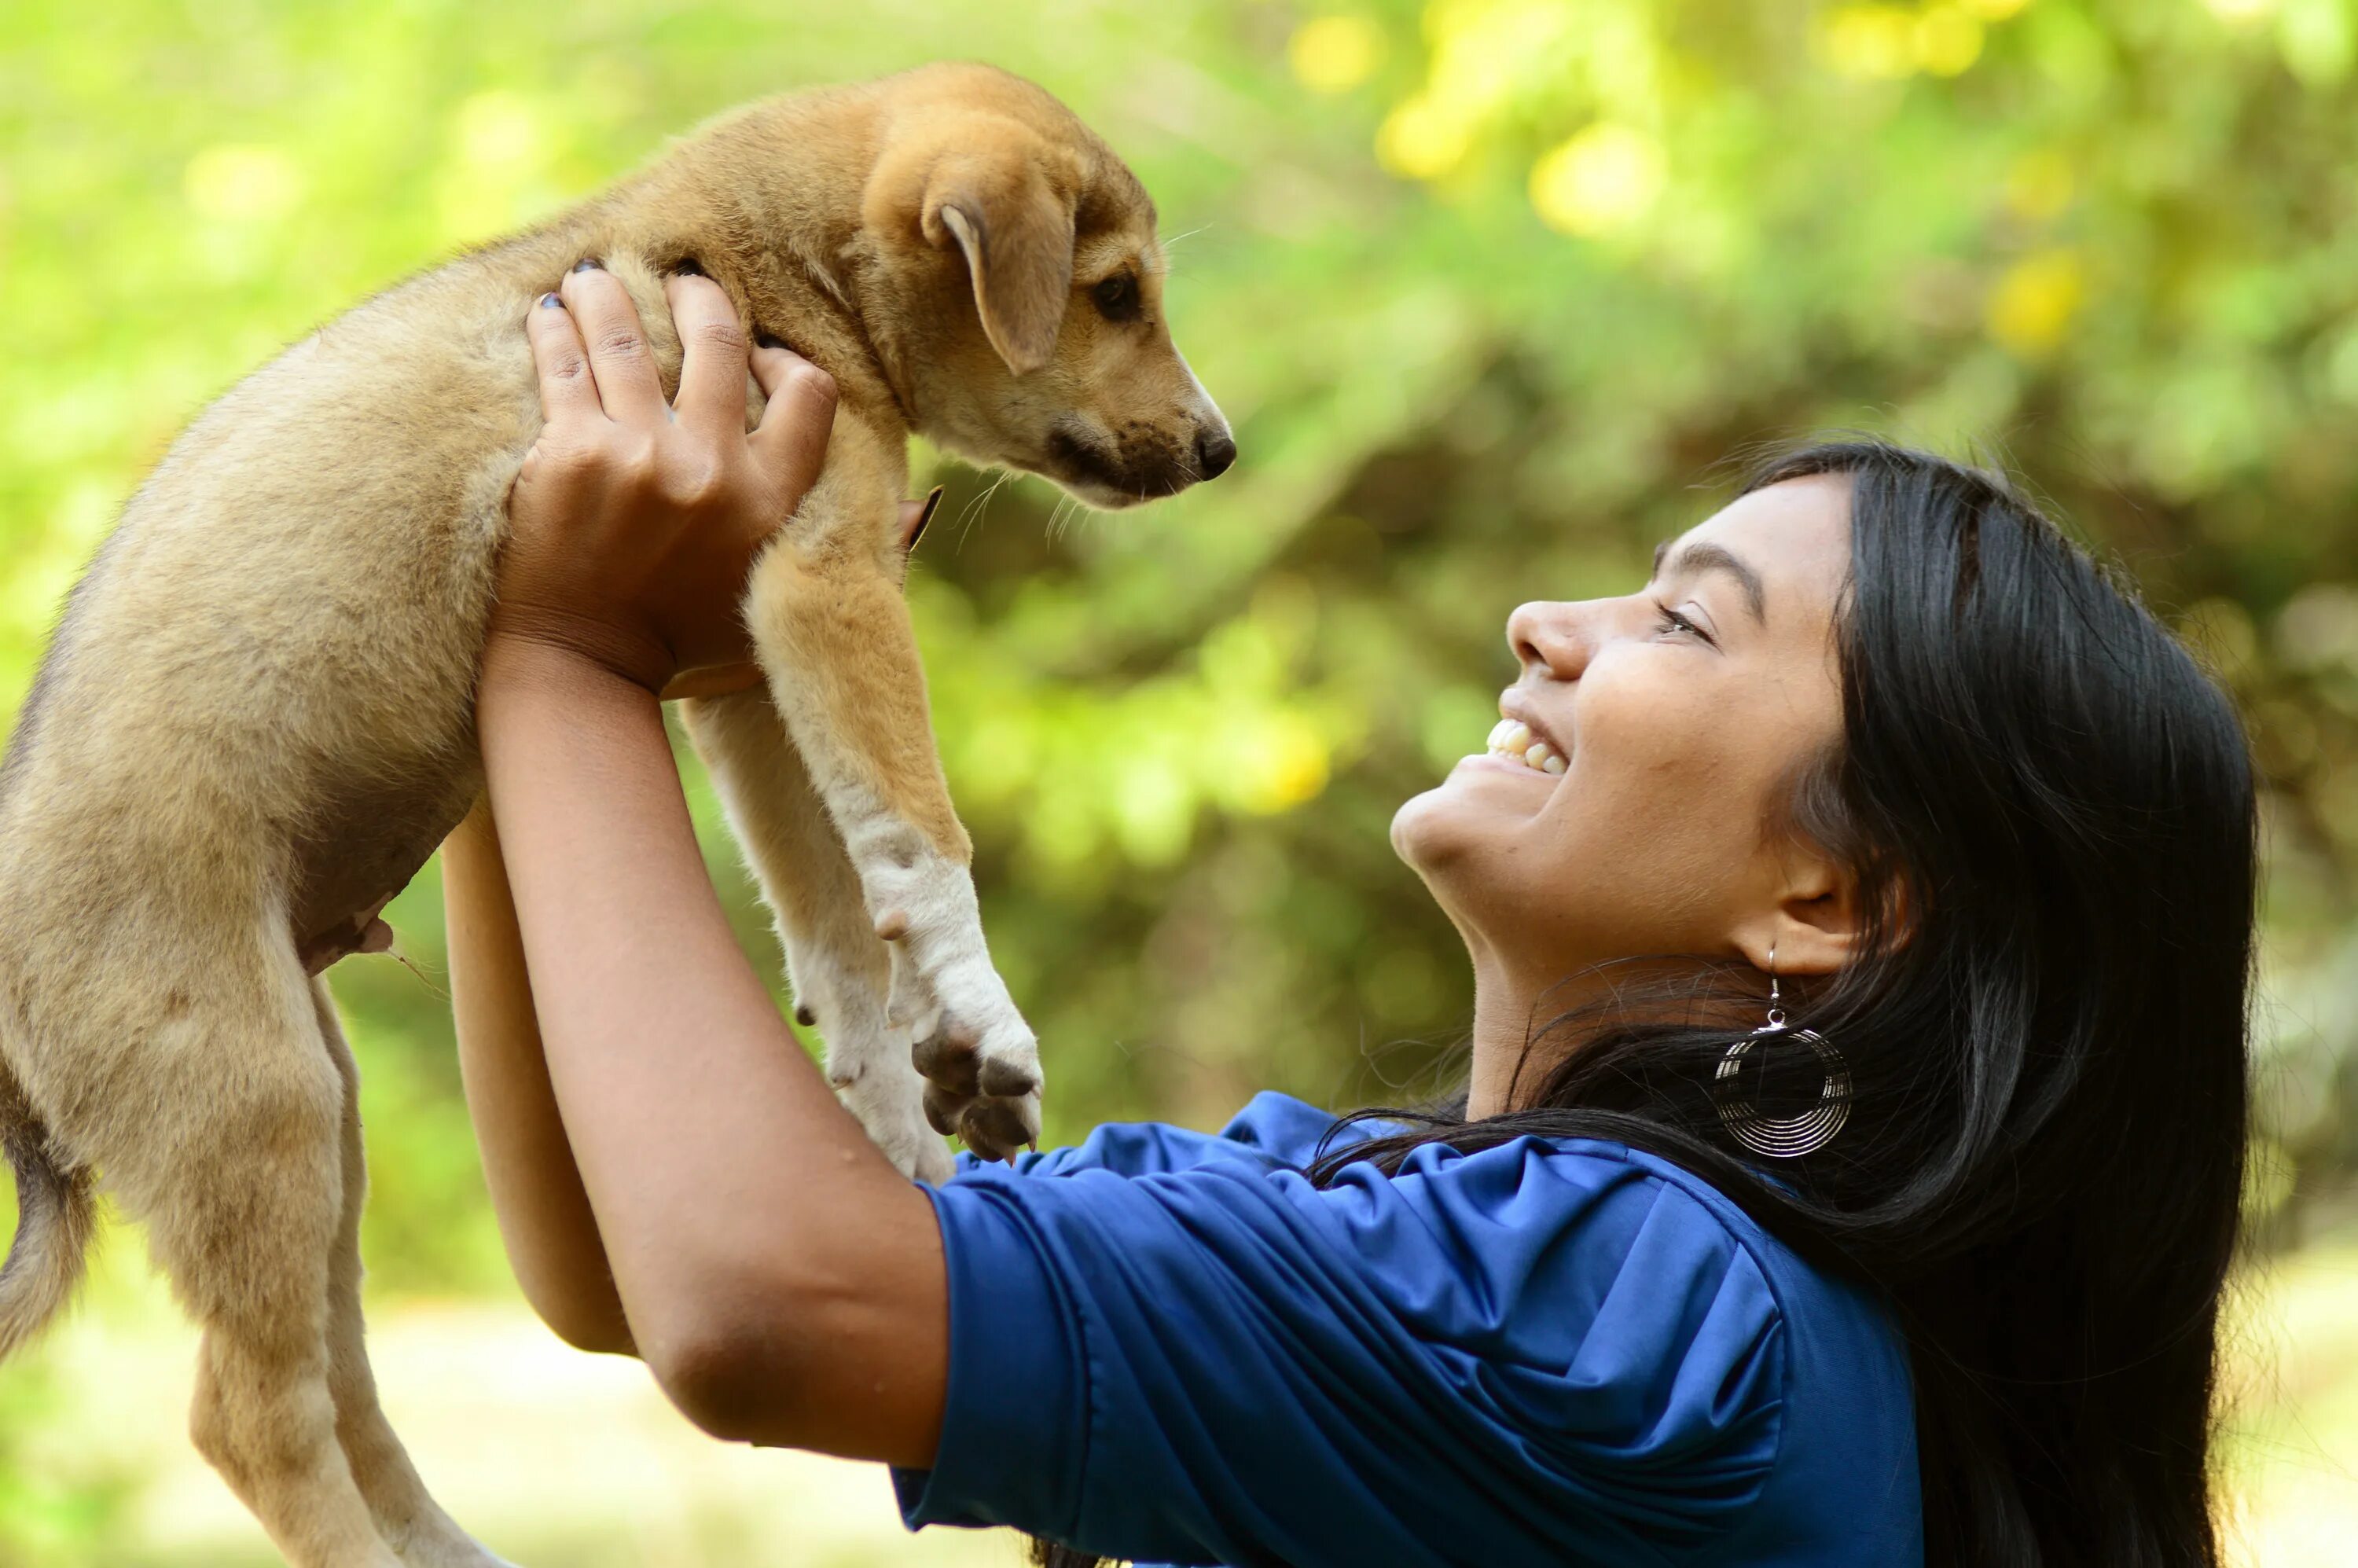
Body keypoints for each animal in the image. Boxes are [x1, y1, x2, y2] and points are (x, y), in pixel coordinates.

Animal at [0, 61, 1226, 1566]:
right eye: (1114, 294)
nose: (1222, 449)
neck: (760, 264)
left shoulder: (744, 665)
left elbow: (838, 916)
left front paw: (891, 1118)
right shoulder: (825, 588)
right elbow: (923, 841)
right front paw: (982, 1019)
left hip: (317, 1126)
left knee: (341, 1393)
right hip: (253, 1104)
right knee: (252, 1423)